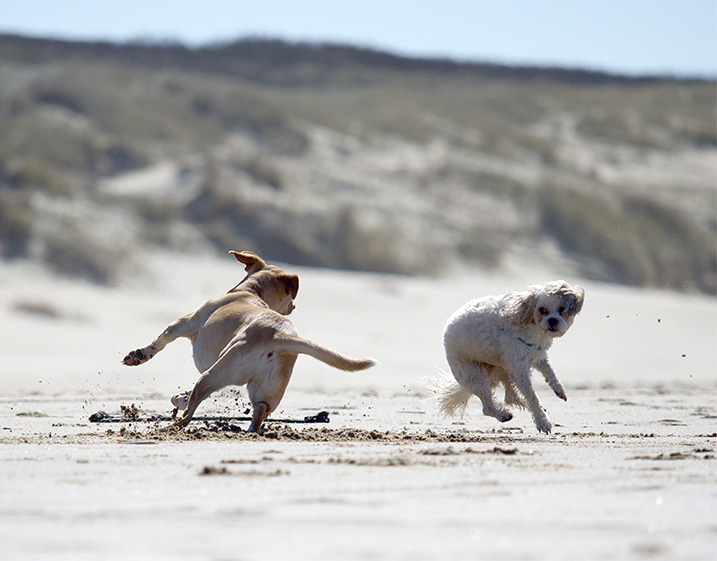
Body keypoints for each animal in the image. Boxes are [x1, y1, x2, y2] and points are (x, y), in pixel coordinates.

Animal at [121, 250, 380, 434]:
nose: (294, 306)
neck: (252, 291)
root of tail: (278, 336)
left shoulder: (185, 322)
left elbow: (161, 340)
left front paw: (138, 356)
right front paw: (180, 397)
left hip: (215, 372)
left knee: (192, 407)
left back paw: (172, 426)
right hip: (266, 390)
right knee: (260, 411)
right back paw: (249, 430)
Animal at [434, 280, 584, 434]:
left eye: (562, 309)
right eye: (542, 310)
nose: (552, 320)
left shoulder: (536, 355)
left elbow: (549, 372)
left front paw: (559, 389)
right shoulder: (520, 368)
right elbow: (532, 396)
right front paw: (542, 421)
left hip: (503, 368)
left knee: (510, 397)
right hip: (475, 375)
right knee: (488, 407)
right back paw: (503, 415)